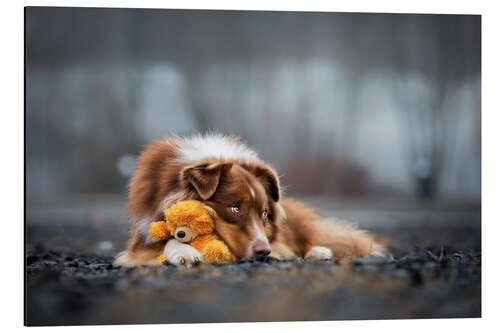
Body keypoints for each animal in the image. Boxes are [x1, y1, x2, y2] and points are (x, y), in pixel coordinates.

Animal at [114, 134, 386, 266]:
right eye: (235, 208)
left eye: (264, 214)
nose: (264, 252)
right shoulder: (143, 235)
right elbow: (164, 242)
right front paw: (184, 252)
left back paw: (319, 252)